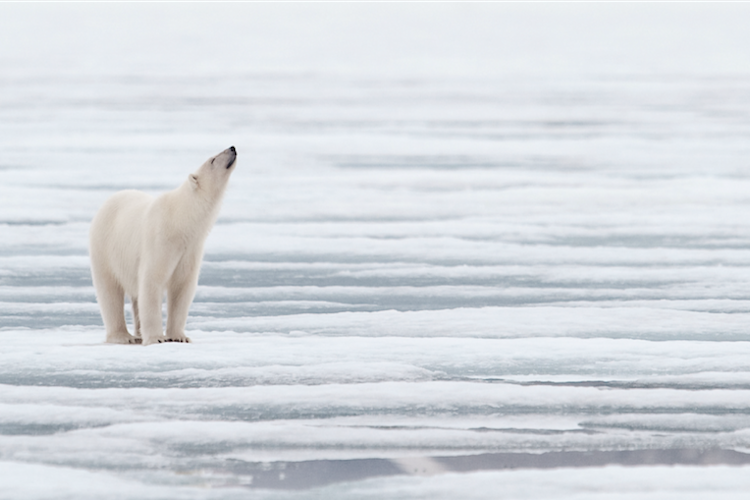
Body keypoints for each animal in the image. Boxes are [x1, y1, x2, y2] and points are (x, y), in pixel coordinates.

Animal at [89, 146, 237, 345]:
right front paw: (156, 338)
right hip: (105, 247)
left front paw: (179, 337)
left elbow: (182, 287)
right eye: (212, 160)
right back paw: (123, 336)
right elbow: (152, 282)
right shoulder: (161, 241)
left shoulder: (190, 248)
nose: (232, 148)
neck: (180, 220)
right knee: (110, 292)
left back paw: (138, 334)